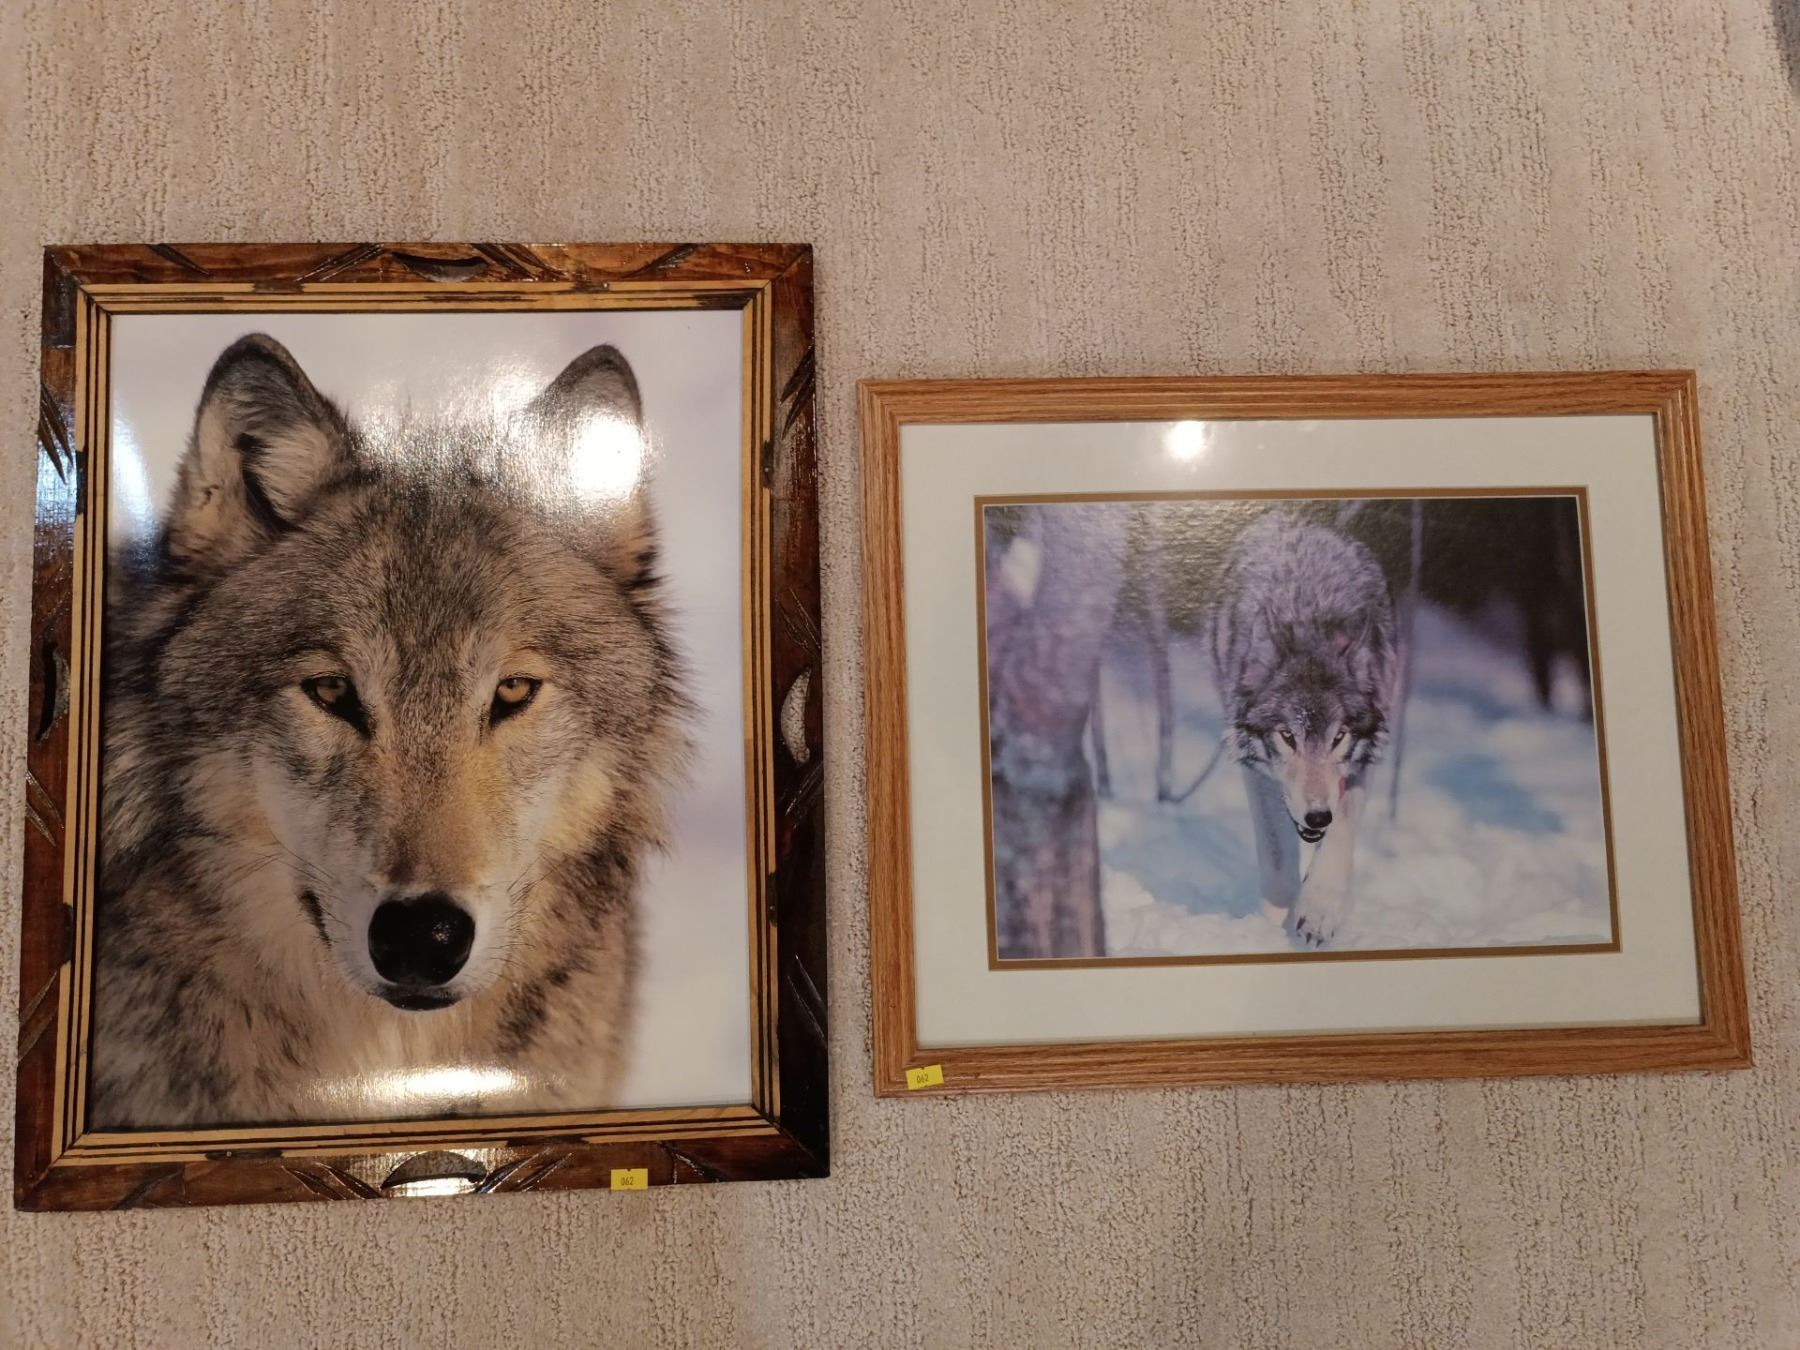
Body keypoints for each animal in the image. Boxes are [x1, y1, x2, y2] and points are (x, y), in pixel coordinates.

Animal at [1209, 512, 1398, 947]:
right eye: (1288, 737)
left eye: (1338, 737)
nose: (1316, 818)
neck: (1310, 616)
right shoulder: (1256, 771)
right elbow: (1277, 859)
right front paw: (1278, 919)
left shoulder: (1362, 760)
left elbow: (1342, 827)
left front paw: (1320, 908)